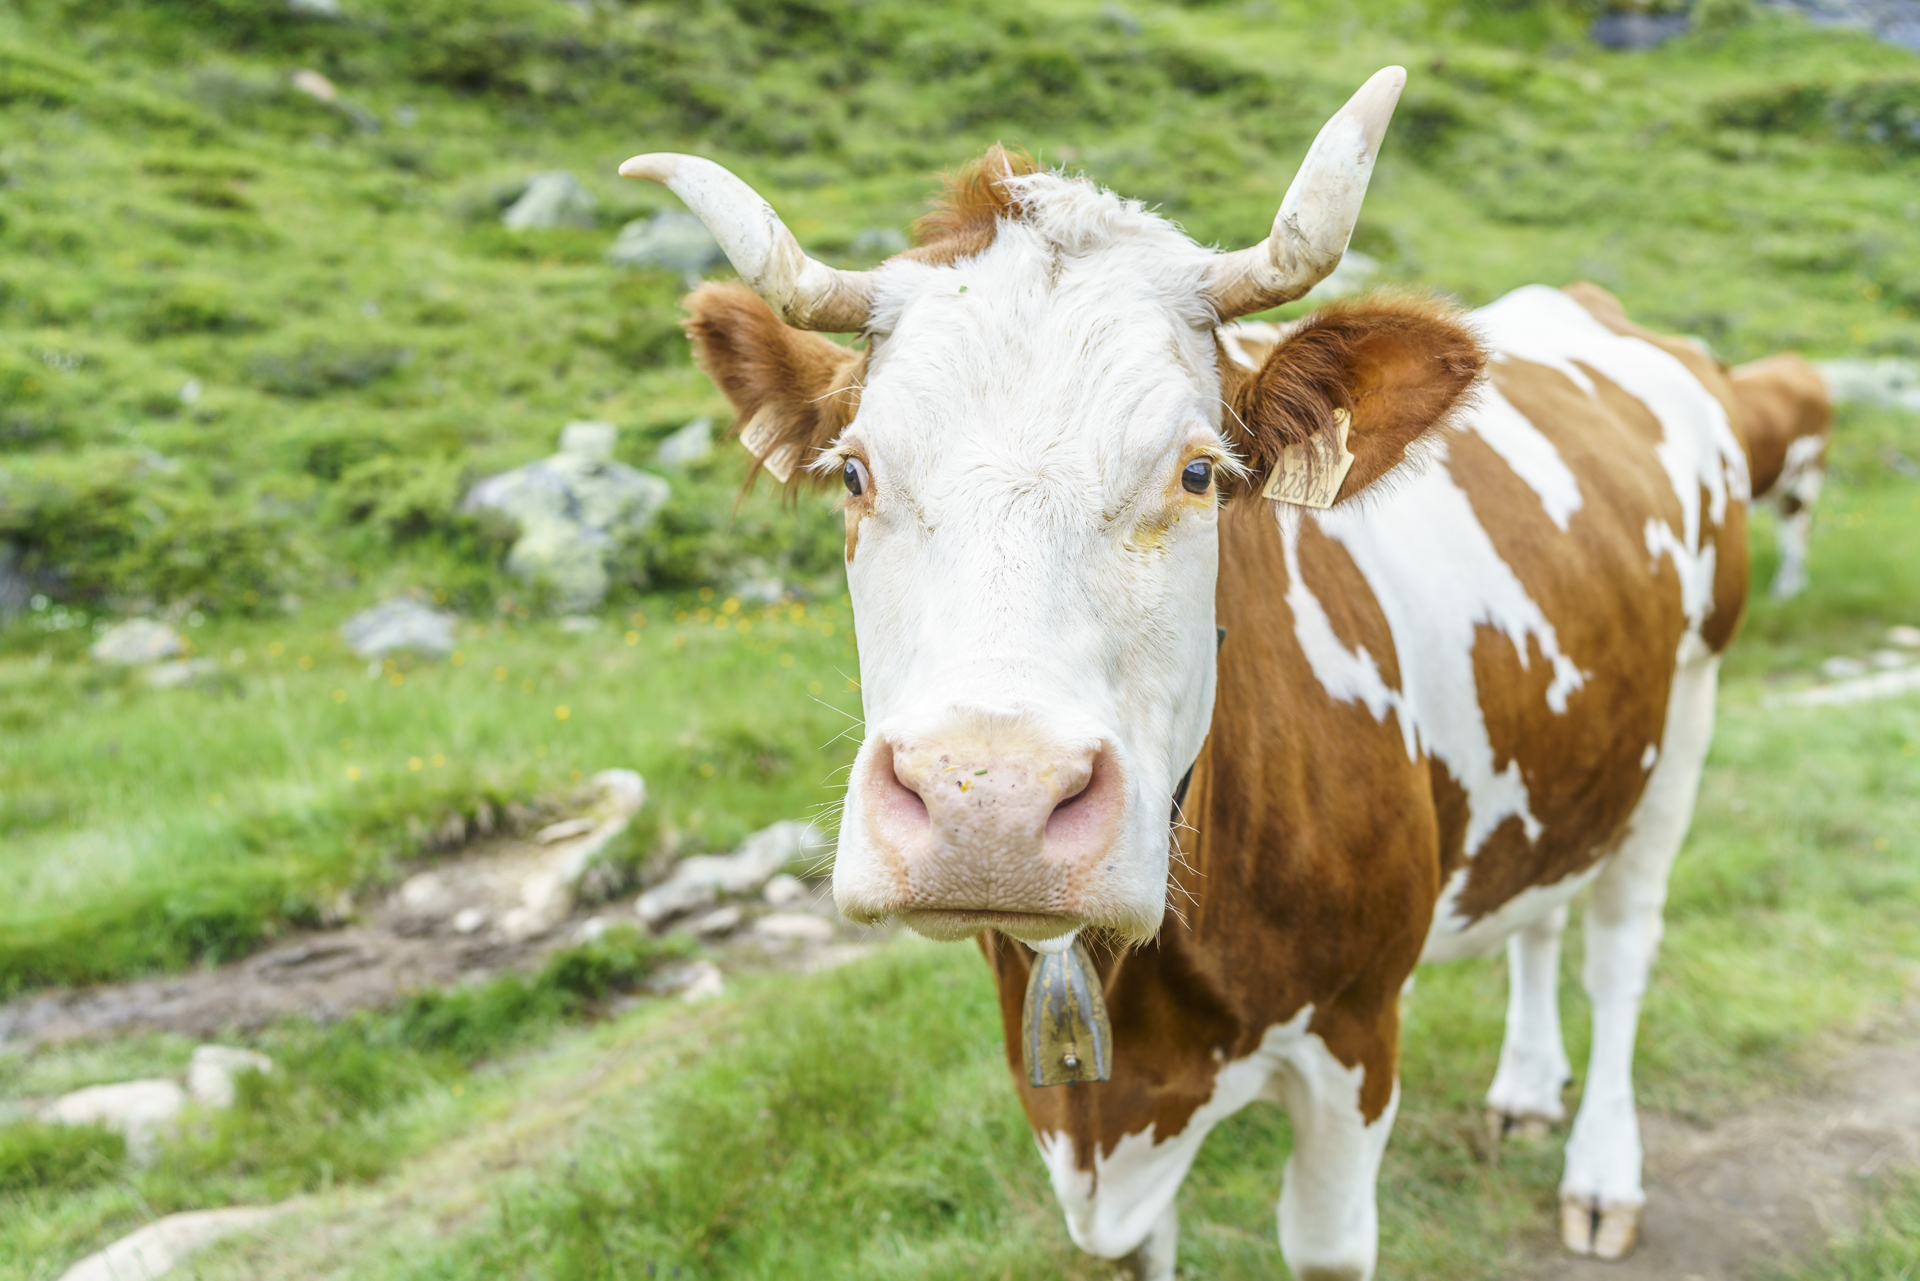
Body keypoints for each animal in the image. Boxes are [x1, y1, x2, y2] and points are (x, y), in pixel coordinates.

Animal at [622, 67, 1799, 1278]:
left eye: (1198, 472)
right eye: (853, 472)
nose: (989, 803)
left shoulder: (1355, 1037)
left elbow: (1325, 1240)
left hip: (1689, 711)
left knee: (1620, 946)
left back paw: (1601, 1172)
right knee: (1544, 903)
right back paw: (1524, 1085)